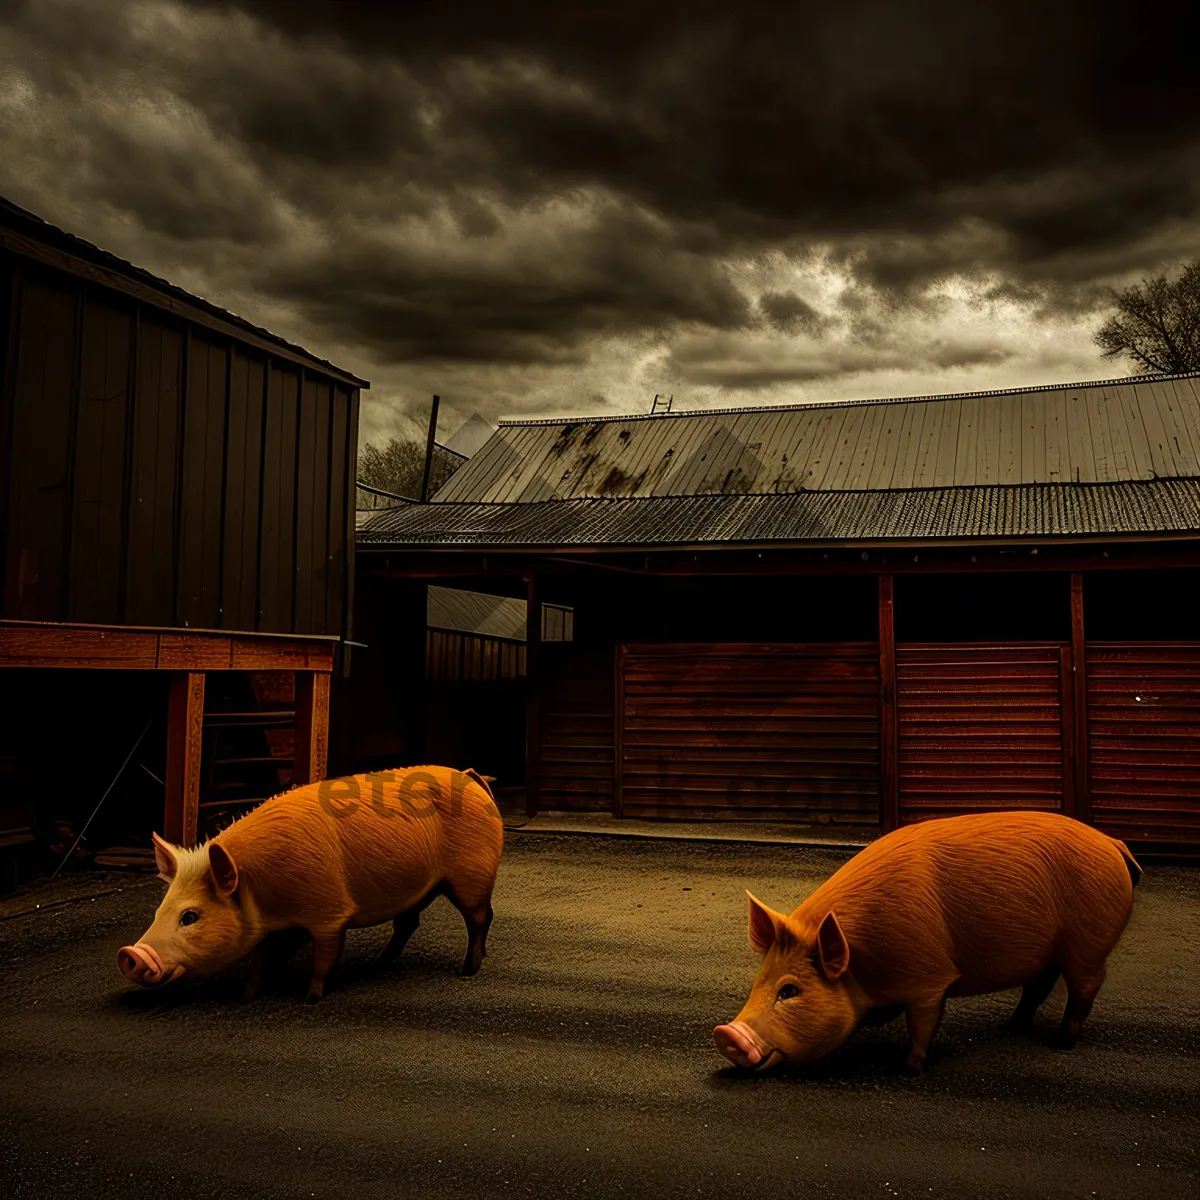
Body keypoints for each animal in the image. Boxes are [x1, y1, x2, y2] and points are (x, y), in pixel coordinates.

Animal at [117, 763, 501, 998]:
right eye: (159, 911)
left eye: (190, 916)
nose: (130, 954)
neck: (260, 887)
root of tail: (470, 777)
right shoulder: (278, 926)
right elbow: (263, 958)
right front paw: (248, 995)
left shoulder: (329, 912)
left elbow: (324, 956)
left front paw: (311, 996)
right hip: (420, 888)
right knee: (408, 923)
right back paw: (380, 963)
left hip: (473, 875)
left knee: (481, 917)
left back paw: (467, 971)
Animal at [710, 811, 1142, 1075]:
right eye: (758, 984)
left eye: (790, 991)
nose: (726, 1034)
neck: (863, 966)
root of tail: (1113, 843)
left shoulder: (929, 979)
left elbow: (923, 1022)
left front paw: (909, 1068)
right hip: (1051, 952)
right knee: (1039, 985)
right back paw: (1010, 1026)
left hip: (1088, 943)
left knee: (1085, 987)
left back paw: (1061, 1043)